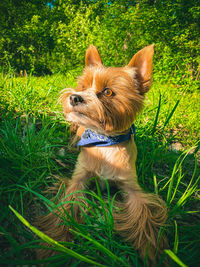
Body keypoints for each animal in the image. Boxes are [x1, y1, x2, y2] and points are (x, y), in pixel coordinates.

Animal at [37, 45, 167, 264]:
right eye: (82, 86)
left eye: (107, 92)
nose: (75, 97)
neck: (105, 143)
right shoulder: (78, 180)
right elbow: (66, 209)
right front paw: (55, 245)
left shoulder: (132, 189)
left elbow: (143, 217)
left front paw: (151, 249)